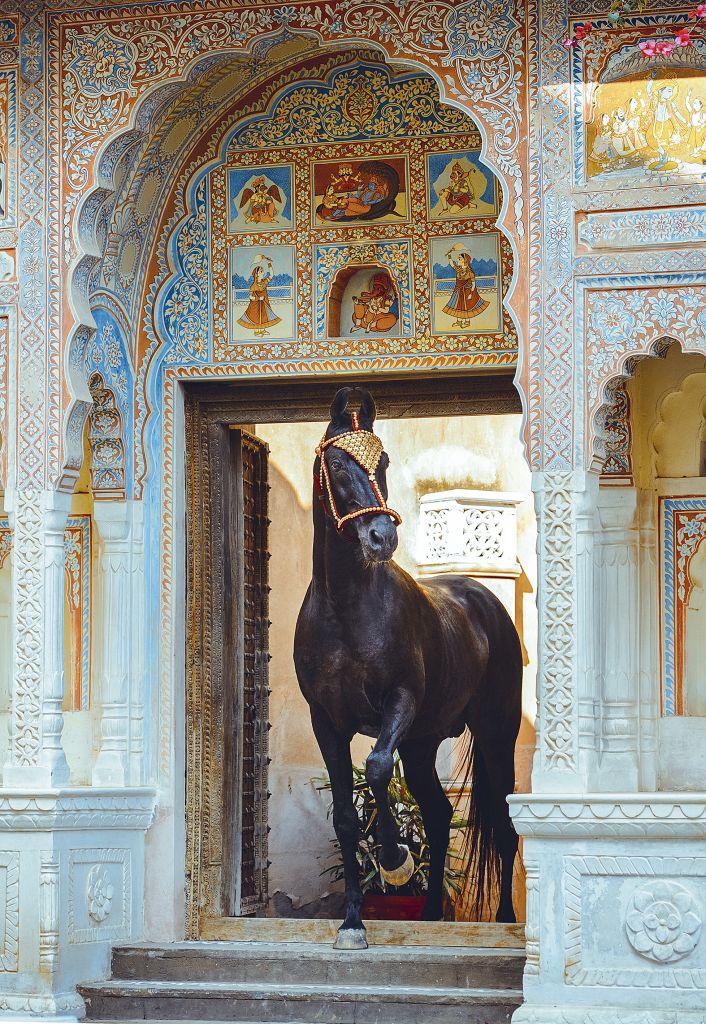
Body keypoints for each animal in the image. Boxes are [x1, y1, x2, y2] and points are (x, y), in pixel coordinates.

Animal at [295, 385, 520, 950]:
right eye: (336, 462)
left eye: (384, 462)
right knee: (439, 817)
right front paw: (353, 922)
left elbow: (376, 767)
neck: (346, 608)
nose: (381, 537)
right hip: (421, 745)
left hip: (495, 733)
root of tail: (484, 598)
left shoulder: (399, 704)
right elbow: (345, 818)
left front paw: (395, 860)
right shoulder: (325, 721)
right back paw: (432, 913)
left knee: (506, 825)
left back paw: (507, 921)